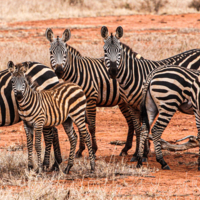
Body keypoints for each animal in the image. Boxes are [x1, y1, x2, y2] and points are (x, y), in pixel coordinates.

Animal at [45, 27, 145, 157]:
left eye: (64, 53)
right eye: (51, 52)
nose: (59, 71)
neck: (78, 72)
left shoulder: (91, 99)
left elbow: (91, 126)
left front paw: (93, 149)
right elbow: (81, 126)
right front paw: (80, 150)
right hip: (124, 101)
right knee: (131, 123)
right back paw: (126, 149)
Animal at [100, 25, 200, 162]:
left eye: (119, 51)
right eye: (105, 51)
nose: (114, 71)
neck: (132, 76)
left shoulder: (144, 105)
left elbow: (145, 127)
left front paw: (144, 154)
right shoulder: (131, 106)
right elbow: (138, 128)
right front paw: (137, 154)